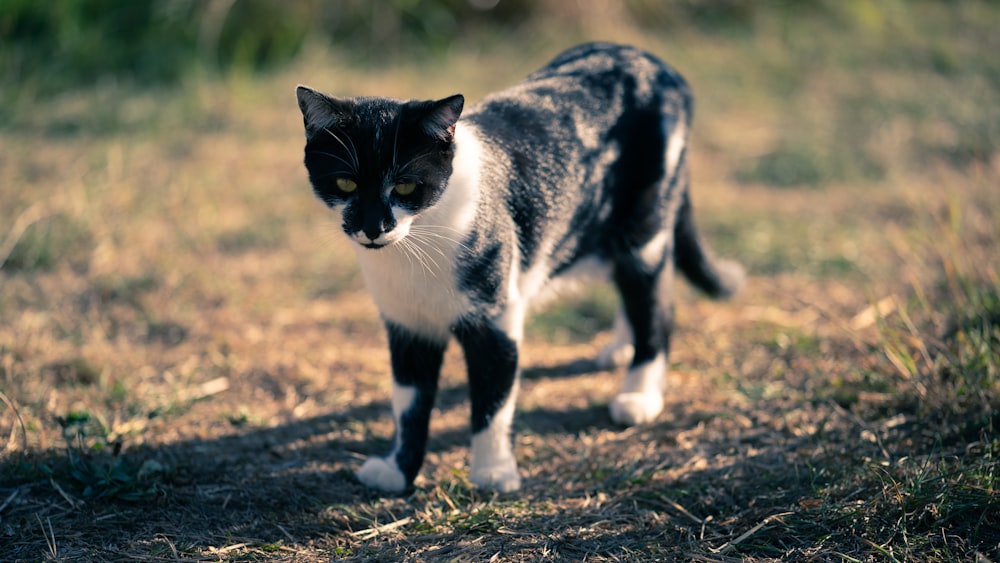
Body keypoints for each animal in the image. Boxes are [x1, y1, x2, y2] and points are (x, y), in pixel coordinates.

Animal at [294, 43, 744, 494]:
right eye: (345, 183)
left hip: (644, 228)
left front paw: (493, 472)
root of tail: (653, 60)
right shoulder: (407, 325)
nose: (373, 227)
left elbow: (492, 401)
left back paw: (639, 393)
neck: (415, 244)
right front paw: (398, 469)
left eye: (404, 185)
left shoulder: (496, 318)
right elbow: (409, 404)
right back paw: (621, 346)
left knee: (654, 304)